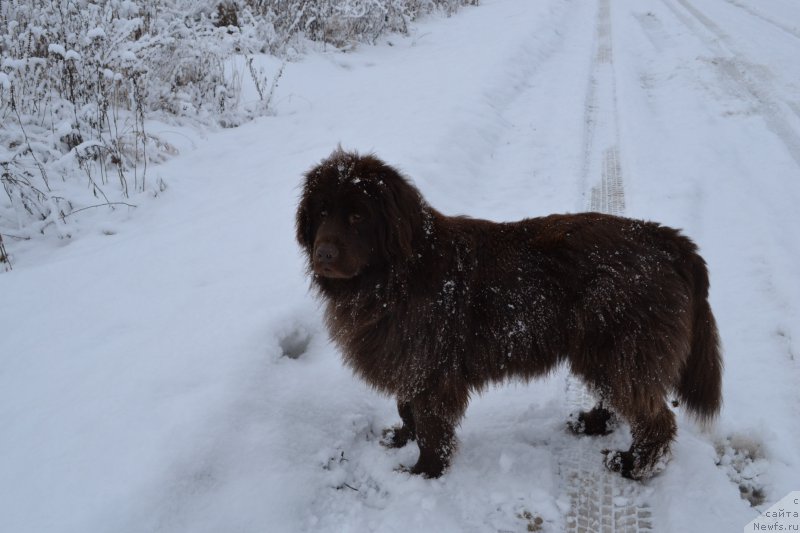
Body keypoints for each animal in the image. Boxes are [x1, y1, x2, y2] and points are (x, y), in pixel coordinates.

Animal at [296, 148, 720, 480]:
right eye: (321, 211)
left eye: (357, 216)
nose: (323, 254)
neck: (397, 273)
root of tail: (665, 239)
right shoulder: (408, 359)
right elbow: (406, 407)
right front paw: (402, 439)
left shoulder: (432, 368)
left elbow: (430, 423)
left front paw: (424, 472)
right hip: (603, 349)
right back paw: (593, 423)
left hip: (623, 345)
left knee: (654, 418)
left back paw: (633, 466)